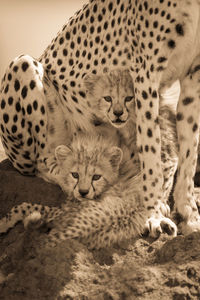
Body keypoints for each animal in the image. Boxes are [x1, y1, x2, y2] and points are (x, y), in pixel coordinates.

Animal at [0, 0, 200, 236]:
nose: (118, 112)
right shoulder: (145, 73)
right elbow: (151, 152)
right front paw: (154, 213)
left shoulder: (194, 75)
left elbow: (189, 153)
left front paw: (189, 214)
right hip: (22, 64)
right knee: (40, 164)